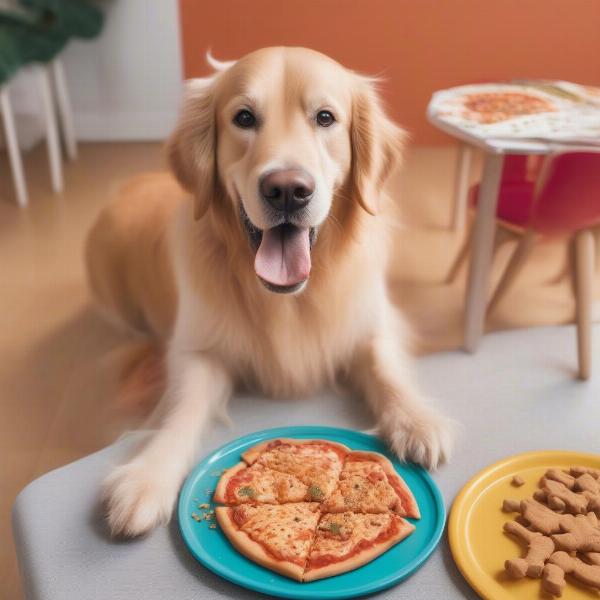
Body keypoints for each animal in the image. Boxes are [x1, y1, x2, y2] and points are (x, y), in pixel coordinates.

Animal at [86, 45, 454, 536]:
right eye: (243, 117)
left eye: (325, 117)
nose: (287, 190)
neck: (287, 299)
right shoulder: (197, 349)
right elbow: (183, 409)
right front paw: (149, 476)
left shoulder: (370, 321)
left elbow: (384, 366)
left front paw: (416, 420)